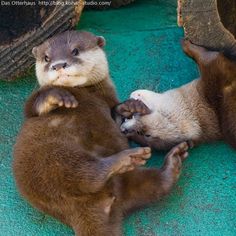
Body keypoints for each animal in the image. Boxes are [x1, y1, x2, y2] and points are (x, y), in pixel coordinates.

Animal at [13, 31, 190, 236]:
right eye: (46, 58)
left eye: (75, 50)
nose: (58, 65)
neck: (85, 92)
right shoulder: (31, 106)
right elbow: (34, 104)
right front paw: (58, 96)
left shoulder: (109, 100)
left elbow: (116, 115)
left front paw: (131, 106)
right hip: (51, 160)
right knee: (86, 174)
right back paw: (126, 159)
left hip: (124, 183)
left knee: (152, 185)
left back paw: (171, 163)